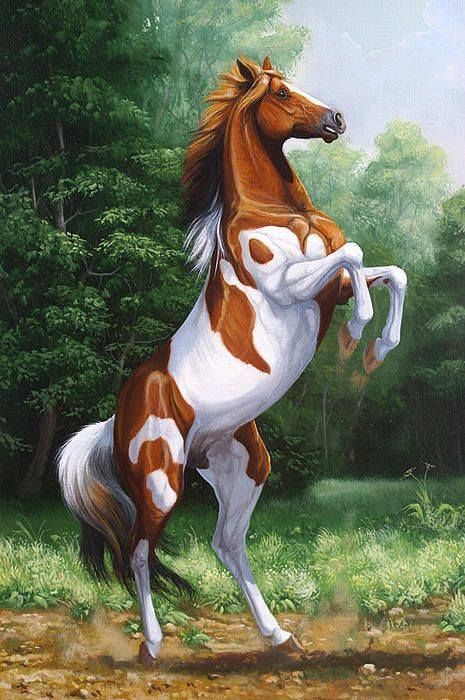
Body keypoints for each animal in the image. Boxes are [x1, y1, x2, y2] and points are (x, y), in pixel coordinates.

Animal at [58, 55, 407, 663]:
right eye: (283, 93)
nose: (336, 119)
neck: (278, 211)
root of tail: (114, 419)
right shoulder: (291, 286)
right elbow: (357, 253)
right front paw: (358, 333)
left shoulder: (330, 288)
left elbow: (388, 271)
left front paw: (375, 348)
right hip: (161, 483)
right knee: (139, 551)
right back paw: (153, 645)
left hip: (242, 469)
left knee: (226, 544)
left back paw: (278, 636)